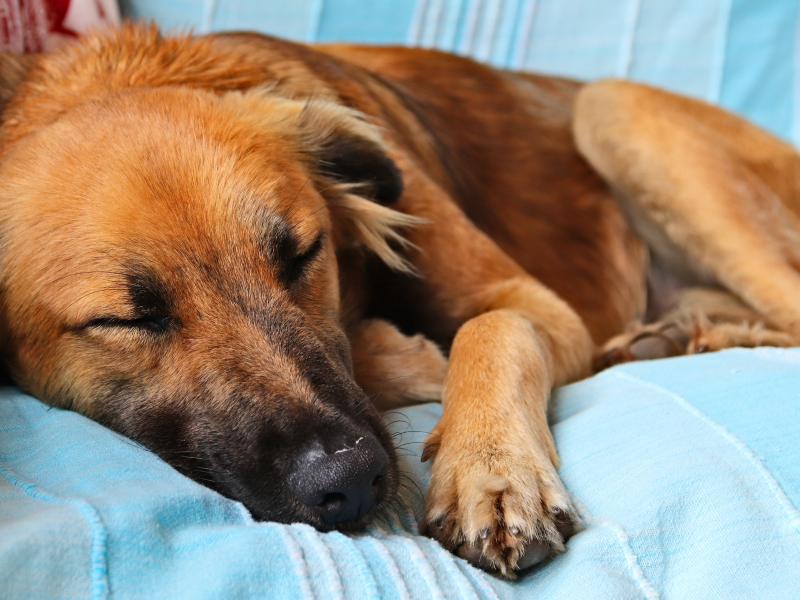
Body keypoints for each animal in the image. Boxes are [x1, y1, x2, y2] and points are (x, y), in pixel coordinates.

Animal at [1, 24, 800, 576]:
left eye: (302, 254)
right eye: (126, 319)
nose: (351, 484)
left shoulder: (535, 303)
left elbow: (491, 328)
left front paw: (492, 471)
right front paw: (402, 356)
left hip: (614, 105)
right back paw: (674, 333)